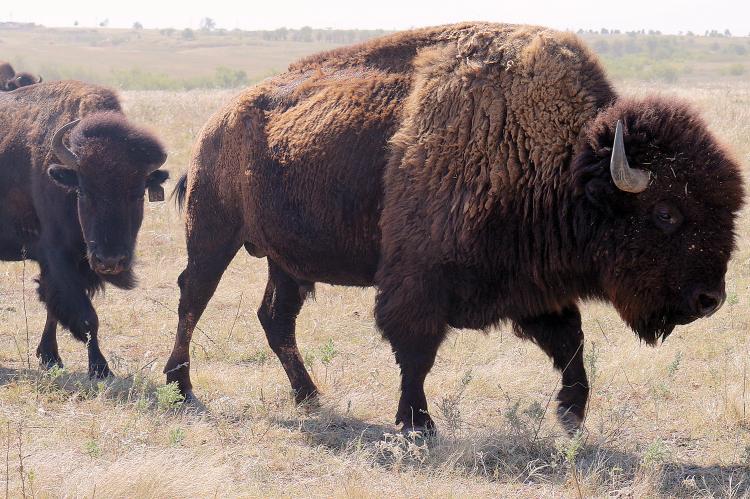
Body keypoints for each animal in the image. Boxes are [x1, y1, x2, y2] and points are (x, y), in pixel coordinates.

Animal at [0, 80, 168, 377]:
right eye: (83, 192)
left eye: (138, 194)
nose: (110, 260)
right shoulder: (58, 257)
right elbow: (87, 317)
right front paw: (100, 368)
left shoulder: (72, 265)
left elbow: (54, 307)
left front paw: (50, 357)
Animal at [166, 23, 744, 433]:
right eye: (667, 213)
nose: (709, 299)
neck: (560, 161)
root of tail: (216, 123)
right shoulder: (418, 281)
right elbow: (416, 349)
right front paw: (418, 425)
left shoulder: (532, 285)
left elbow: (569, 341)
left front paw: (570, 415)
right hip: (213, 234)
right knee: (193, 297)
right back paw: (182, 387)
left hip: (286, 261)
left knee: (276, 319)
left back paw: (309, 397)